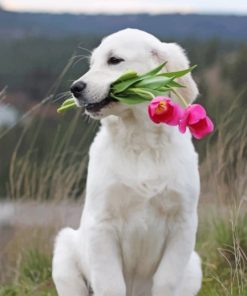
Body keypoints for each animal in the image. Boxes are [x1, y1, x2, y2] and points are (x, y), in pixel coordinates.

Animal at [52, 28, 203, 296]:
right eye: (92, 64)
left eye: (114, 60)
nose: (75, 88)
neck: (140, 142)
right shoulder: (102, 224)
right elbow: (111, 285)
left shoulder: (183, 222)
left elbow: (166, 280)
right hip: (64, 251)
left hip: (194, 266)